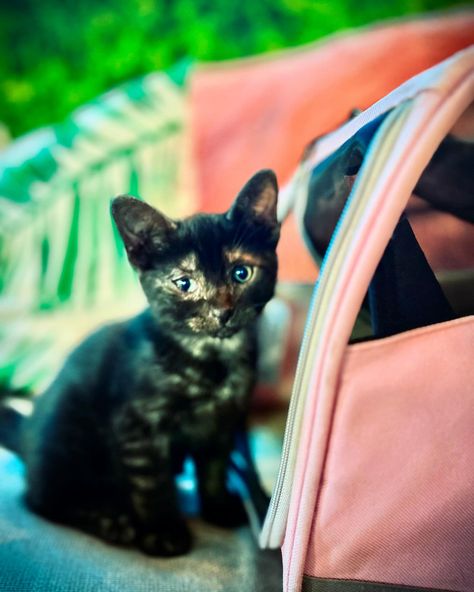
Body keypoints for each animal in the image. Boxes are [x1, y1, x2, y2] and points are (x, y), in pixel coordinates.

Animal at [6, 169, 278, 556]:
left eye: (242, 273)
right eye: (184, 283)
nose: (222, 312)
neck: (210, 357)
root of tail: (26, 433)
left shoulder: (224, 420)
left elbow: (214, 467)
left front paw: (218, 508)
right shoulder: (137, 425)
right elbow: (152, 484)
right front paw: (164, 532)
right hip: (66, 438)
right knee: (45, 498)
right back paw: (112, 520)